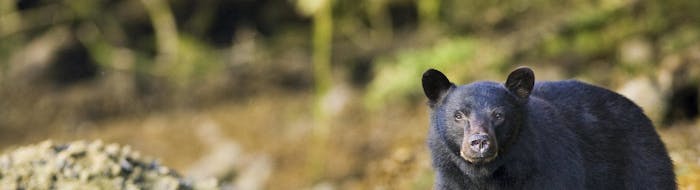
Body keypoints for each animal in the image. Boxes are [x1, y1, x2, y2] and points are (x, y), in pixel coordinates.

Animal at [424, 67, 676, 189]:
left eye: (498, 115)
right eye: (458, 115)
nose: (479, 142)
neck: (485, 175)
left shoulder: (549, 172)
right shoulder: (452, 180)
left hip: (641, 163)